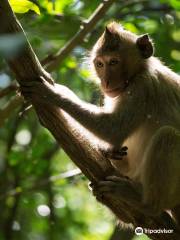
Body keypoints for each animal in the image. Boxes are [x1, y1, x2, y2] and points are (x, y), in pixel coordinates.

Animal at [21, 21, 180, 224]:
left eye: (114, 62)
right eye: (100, 64)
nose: (106, 82)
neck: (138, 72)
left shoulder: (142, 88)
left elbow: (113, 129)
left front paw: (52, 93)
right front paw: (108, 152)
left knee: (169, 135)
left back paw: (146, 204)